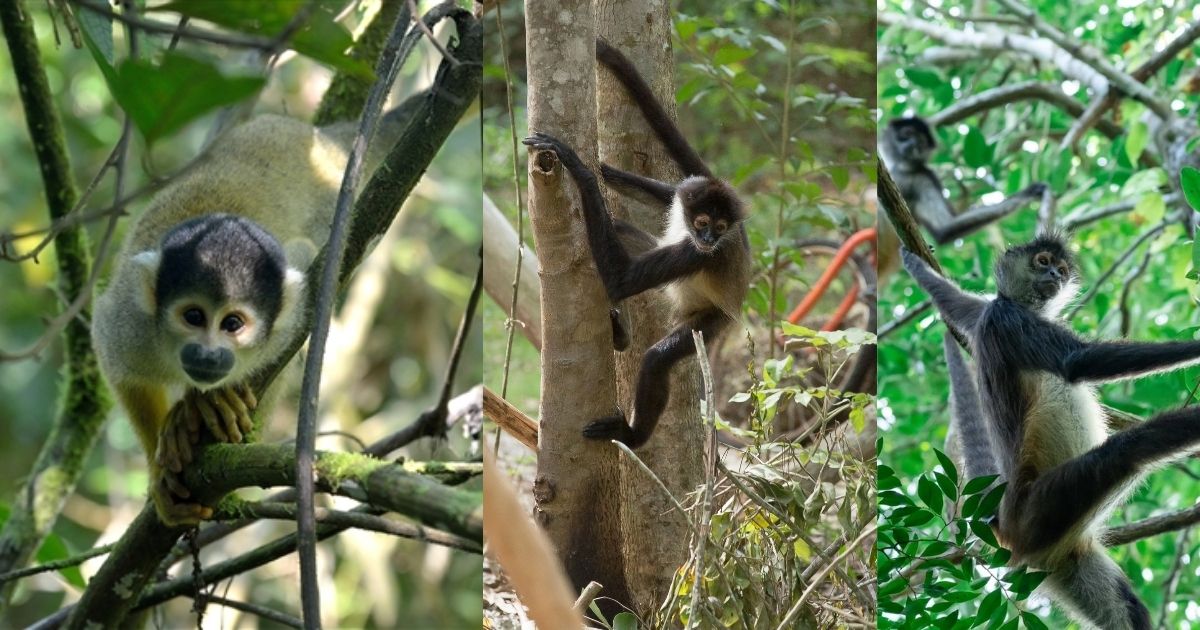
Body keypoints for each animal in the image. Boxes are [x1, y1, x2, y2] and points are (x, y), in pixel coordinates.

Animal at [519, 40, 752, 449]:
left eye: (719, 227)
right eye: (703, 222)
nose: (709, 238)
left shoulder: (702, 254)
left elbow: (622, 280)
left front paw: (580, 169)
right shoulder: (685, 199)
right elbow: (660, 197)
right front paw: (600, 168)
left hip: (713, 320)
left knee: (657, 357)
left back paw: (632, 435)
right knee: (620, 228)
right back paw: (622, 335)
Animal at [901, 234, 1200, 629]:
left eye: (1060, 268)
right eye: (1042, 262)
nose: (1055, 275)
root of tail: (1004, 518)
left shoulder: (986, 312)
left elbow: (956, 304)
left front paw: (916, 265)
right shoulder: (1006, 316)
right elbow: (1078, 361)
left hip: (1066, 558)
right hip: (1043, 508)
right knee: (1132, 449)